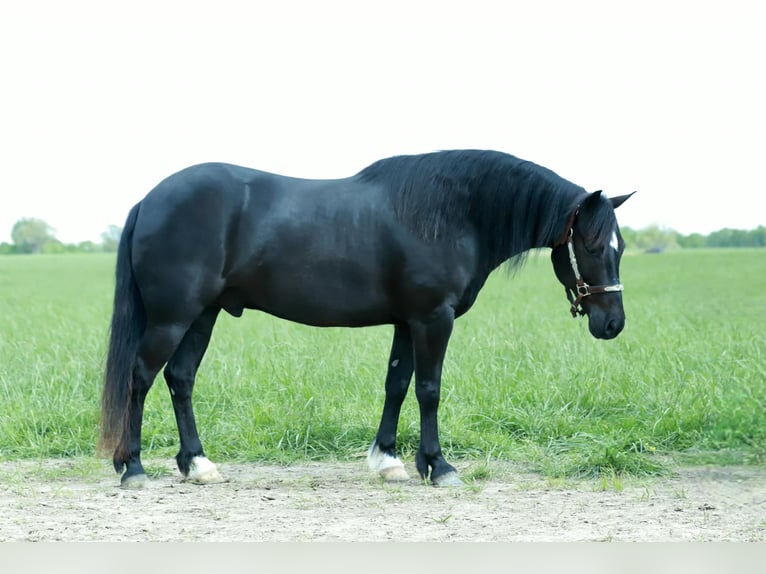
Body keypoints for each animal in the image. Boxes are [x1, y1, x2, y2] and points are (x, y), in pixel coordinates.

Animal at [99, 149, 634, 488]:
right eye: (590, 245)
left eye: (621, 246)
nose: (613, 324)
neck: (454, 214)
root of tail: (150, 199)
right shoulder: (433, 318)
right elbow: (429, 389)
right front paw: (439, 467)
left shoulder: (406, 321)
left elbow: (396, 384)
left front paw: (389, 461)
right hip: (172, 317)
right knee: (140, 378)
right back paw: (134, 468)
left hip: (202, 315)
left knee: (180, 378)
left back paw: (197, 465)